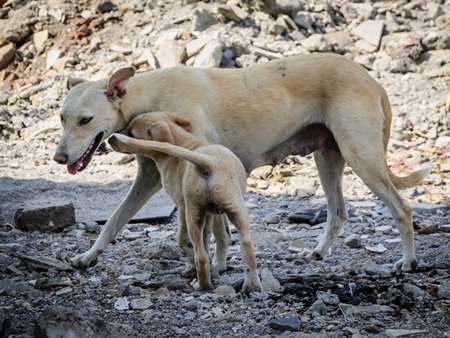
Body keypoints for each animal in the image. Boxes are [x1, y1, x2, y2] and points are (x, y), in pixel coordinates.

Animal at [54, 53, 430, 274]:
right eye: (62, 118)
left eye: (86, 120)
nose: (59, 158)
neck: (147, 96)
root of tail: (372, 79)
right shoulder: (149, 178)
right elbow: (114, 221)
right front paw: (89, 256)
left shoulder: (206, 168)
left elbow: (217, 230)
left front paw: (216, 264)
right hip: (328, 158)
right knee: (338, 213)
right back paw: (317, 253)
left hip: (361, 158)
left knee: (402, 208)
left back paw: (409, 261)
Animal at [109, 113, 264, 294]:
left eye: (130, 133)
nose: (110, 139)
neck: (182, 141)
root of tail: (208, 161)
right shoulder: (209, 214)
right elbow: (207, 237)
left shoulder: (182, 207)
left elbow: (182, 239)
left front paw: (191, 261)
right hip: (236, 208)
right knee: (247, 245)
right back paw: (252, 286)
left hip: (193, 214)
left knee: (201, 256)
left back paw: (202, 285)